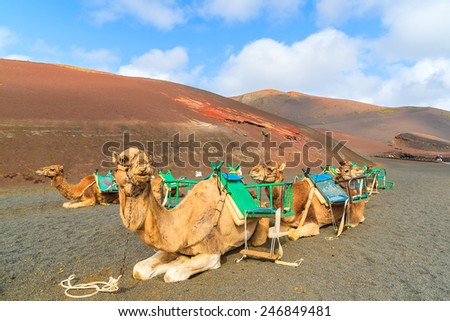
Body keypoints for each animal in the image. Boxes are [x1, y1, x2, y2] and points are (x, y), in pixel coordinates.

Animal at [112, 146, 266, 282]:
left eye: (150, 159)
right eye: (123, 159)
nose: (143, 164)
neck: (183, 225)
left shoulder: (212, 255)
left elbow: (171, 274)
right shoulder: (173, 246)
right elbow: (139, 269)